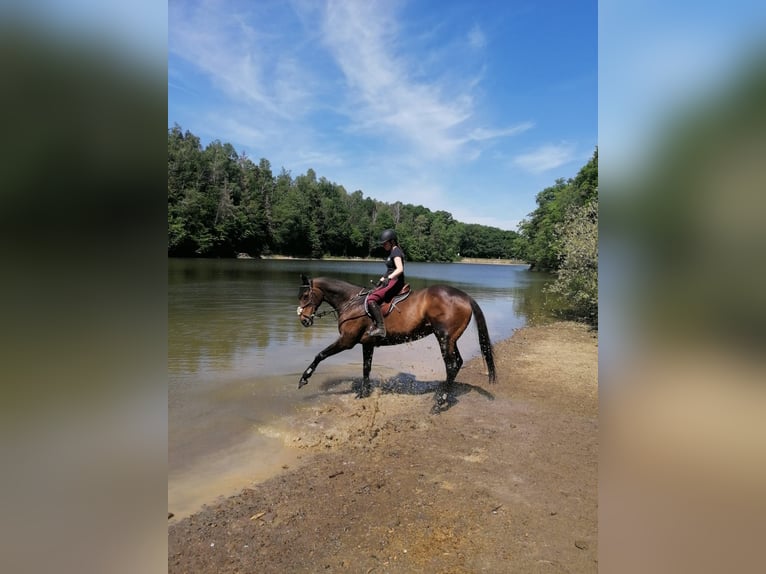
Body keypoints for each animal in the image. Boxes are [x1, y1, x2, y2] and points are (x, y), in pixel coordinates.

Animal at [296, 274, 496, 412]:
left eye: (305, 295)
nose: (304, 320)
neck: (352, 302)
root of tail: (465, 297)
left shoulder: (347, 341)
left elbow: (320, 355)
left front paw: (304, 379)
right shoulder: (367, 344)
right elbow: (366, 368)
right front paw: (364, 393)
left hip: (444, 338)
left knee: (452, 365)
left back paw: (440, 402)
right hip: (451, 339)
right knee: (457, 363)